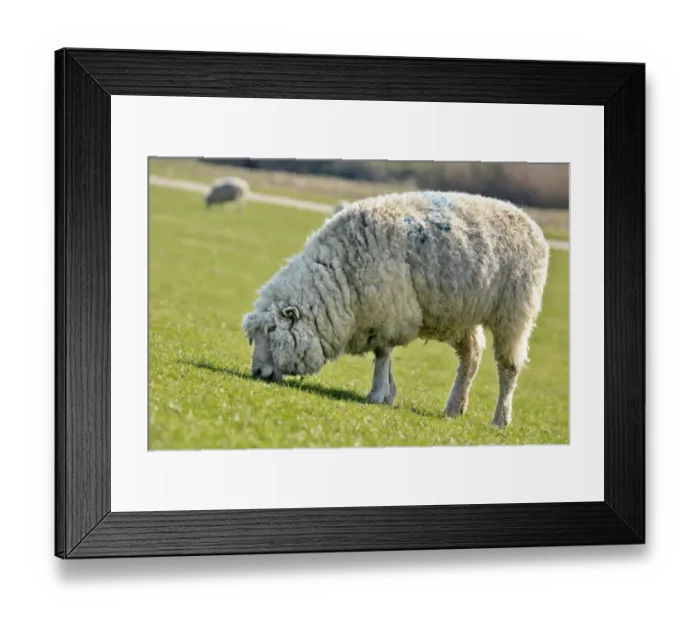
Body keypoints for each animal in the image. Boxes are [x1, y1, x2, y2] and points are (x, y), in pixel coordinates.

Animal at [242, 190, 549, 428]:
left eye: (272, 329)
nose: (256, 373)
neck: (339, 277)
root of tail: (529, 221)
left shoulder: (388, 313)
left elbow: (382, 355)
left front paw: (377, 393)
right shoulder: (376, 318)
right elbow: (384, 356)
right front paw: (389, 394)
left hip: (515, 312)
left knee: (508, 369)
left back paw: (500, 419)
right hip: (463, 315)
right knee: (471, 358)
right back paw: (454, 407)